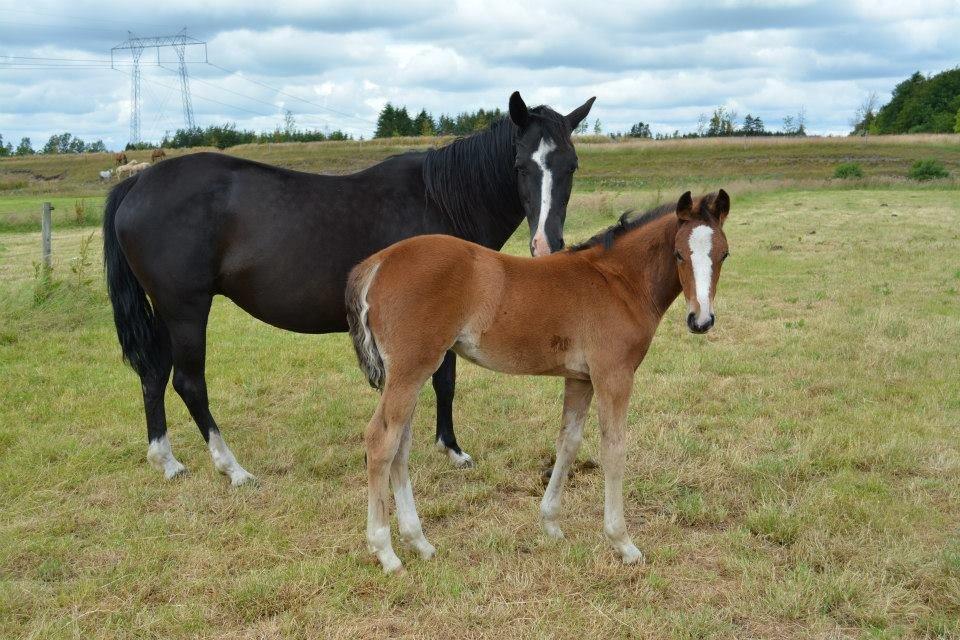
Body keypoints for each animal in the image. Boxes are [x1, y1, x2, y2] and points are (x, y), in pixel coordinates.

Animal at [99, 92, 592, 484]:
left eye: (571, 166)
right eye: (520, 165)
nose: (546, 245)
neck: (440, 199)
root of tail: (137, 183)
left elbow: (442, 384)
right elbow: (443, 381)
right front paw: (451, 450)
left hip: (165, 310)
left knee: (153, 373)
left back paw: (167, 461)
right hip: (185, 308)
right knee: (188, 382)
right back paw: (232, 468)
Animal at [348, 189, 732, 568]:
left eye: (724, 254)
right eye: (679, 254)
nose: (701, 320)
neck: (618, 282)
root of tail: (378, 263)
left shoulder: (581, 379)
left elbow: (568, 442)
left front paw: (550, 523)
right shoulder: (613, 375)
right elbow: (613, 449)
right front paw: (622, 543)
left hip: (408, 374)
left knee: (400, 446)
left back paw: (419, 542)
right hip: (411, 370)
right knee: (381, 441)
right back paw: (386, 552)